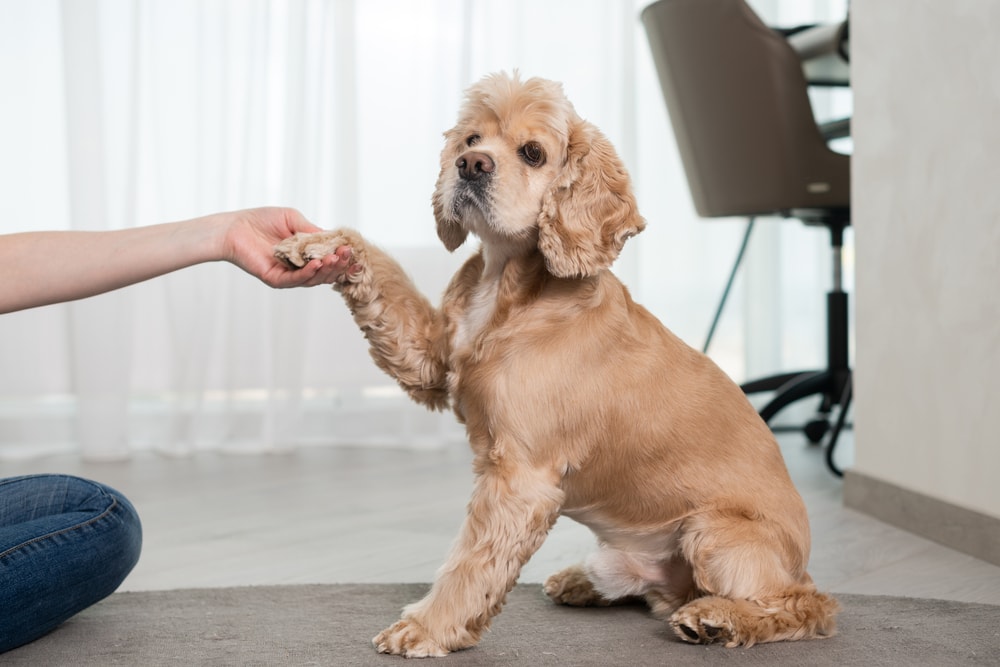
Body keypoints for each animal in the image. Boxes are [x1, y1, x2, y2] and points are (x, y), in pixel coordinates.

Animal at [272, 70, 836, 656]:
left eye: (533, 153)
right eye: (472, 139)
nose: (470, 166)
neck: (507, 287)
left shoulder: (521, 477)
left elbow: (471, 562)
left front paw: (427, 628)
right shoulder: (428, 360)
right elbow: (380, 269)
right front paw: (318, 243)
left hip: (715, 532)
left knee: (805, 605)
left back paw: (718, 618)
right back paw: (583, 580)